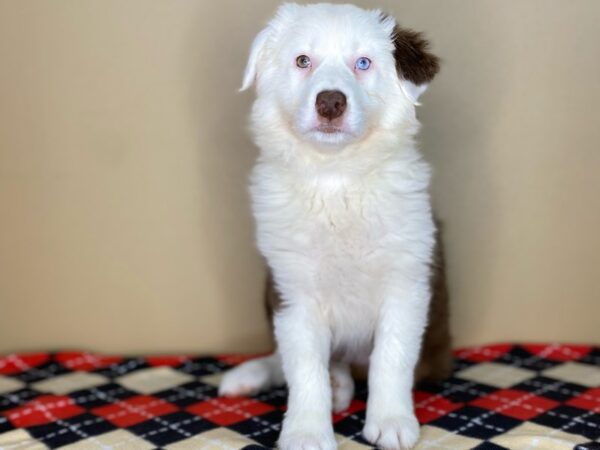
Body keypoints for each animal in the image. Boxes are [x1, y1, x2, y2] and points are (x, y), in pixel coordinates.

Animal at [220, 4, 450, 450]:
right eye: (302, 61)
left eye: (363, 63)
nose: (330, 102)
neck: (336, 177)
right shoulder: (293, 290)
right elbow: (303, 367)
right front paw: (306, 431)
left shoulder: (407, 281)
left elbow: (391, 357)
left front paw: (392, 421)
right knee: (284, 358)